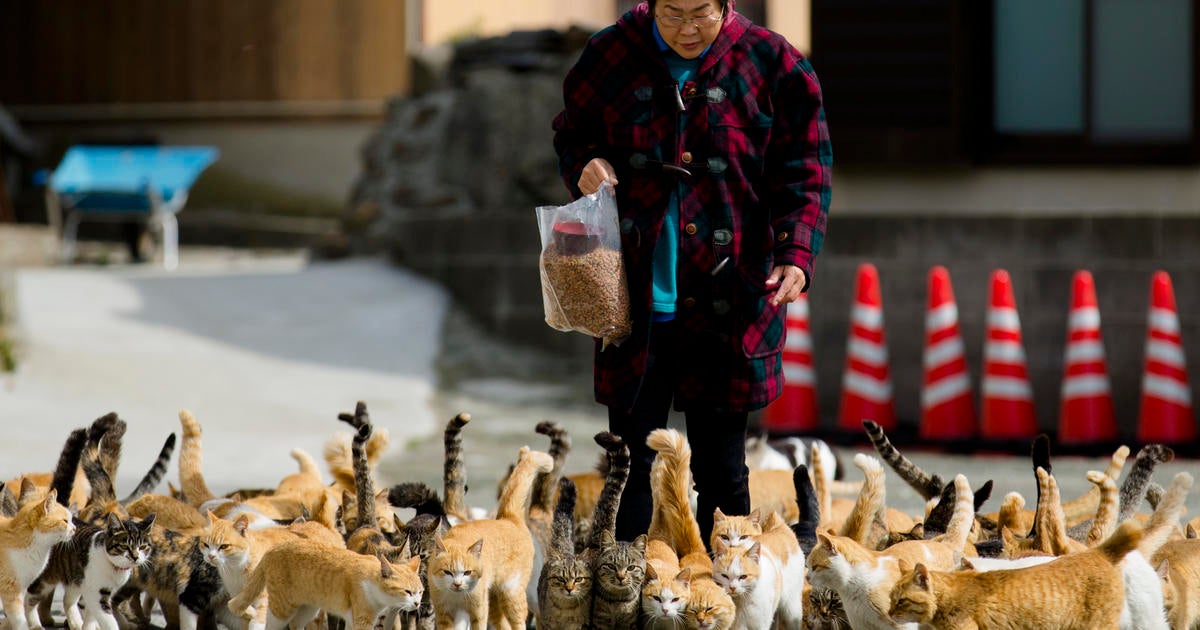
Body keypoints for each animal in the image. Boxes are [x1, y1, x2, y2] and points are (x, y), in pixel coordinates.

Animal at [25, 513, 156, 630]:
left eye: (143, 547)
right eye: (124, 546)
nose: (135, 557)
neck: (112, 565)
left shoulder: (97, 591)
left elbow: (91, 616)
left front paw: (88, 626)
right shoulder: (97, 594)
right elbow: (108, 620)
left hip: (76, 578)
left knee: (67, 600)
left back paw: (76, 624)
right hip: (45, 579)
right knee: (29, 599)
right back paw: (35, 625)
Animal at [427, 444, 552, 624]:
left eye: (467, 572)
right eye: (447, 572)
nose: (457, 584)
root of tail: (508, 518)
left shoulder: (478, 611)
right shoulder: (445, 614)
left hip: (512, 594)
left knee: (520, 621)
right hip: (495, 601)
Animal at [537, 477, 592, 628]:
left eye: (578, 579)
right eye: (561, 579)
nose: (569, 589)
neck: (565, 608)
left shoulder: (579, 624)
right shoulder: (547, 623)